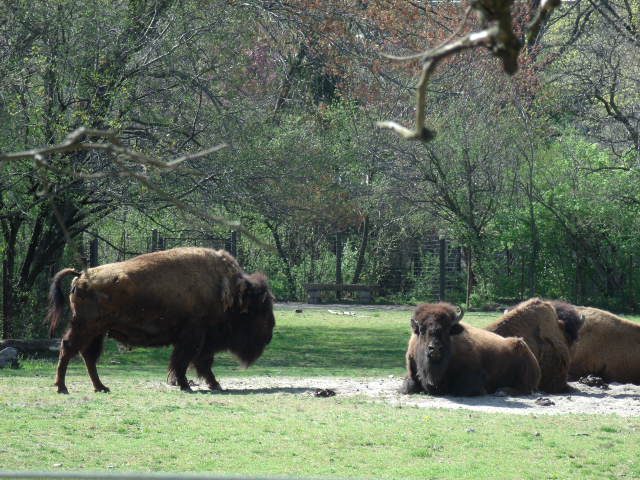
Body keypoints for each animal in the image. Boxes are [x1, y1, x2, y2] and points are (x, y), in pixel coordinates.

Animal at [46, 247, 275, 394]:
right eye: (260, 310)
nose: (270, 333)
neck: (225, 290)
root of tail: (81, 276)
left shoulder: (201, 340)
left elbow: (197, 362)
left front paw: (212, 384)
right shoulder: (193, 337)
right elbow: (185, 361)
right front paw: (185, 385)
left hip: (97, 331)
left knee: (88, 356)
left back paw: (101, 387)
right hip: (85, 327)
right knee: (69, 349)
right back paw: (62, 387)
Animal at [400, 302, 540, 396]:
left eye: (447, 330)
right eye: (422, 330)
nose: (435, 349)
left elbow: (461, 388)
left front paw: (483, 390)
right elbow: (407, 387)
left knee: (525, 388)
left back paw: (502, 391)